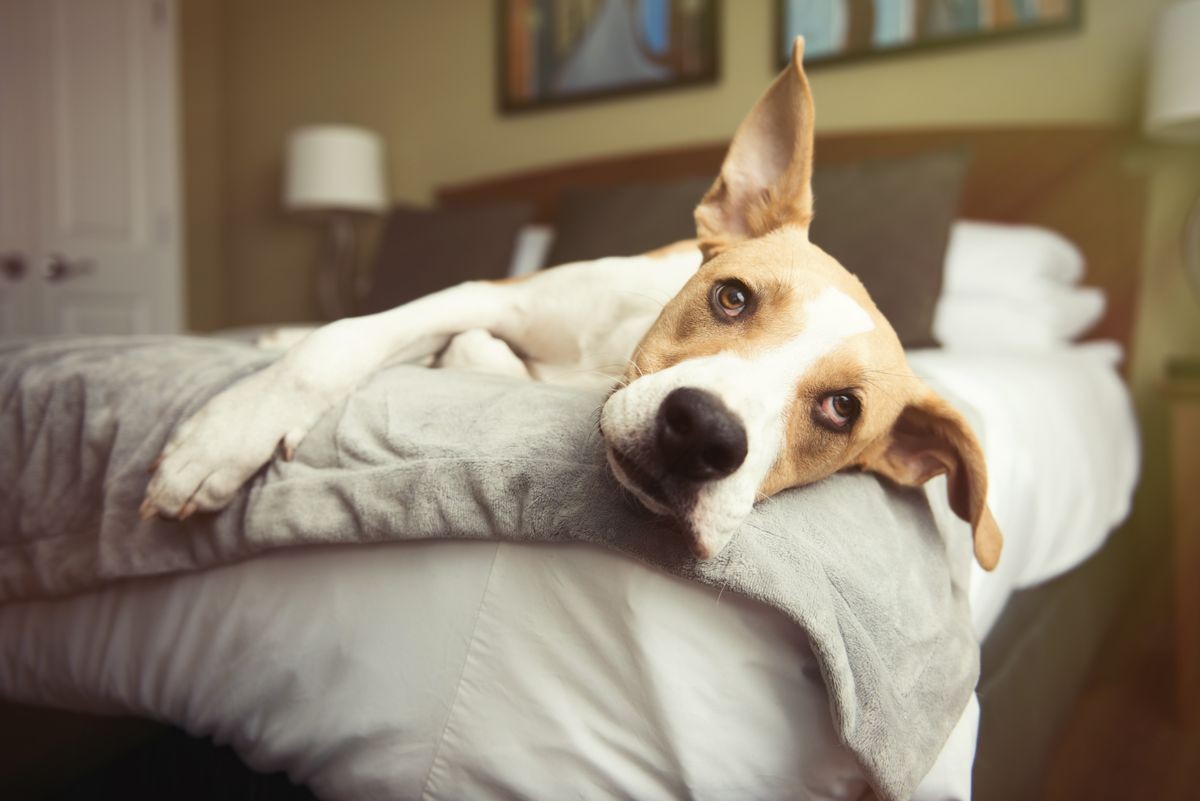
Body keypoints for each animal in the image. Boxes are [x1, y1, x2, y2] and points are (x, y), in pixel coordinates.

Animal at [140, 37, 1003, 573]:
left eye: (841, 409)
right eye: (731, 296)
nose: (705, 433)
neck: (605, 361)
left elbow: (470, 353)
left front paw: (470, 358)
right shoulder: (487, 293)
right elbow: (343, 340)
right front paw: (223, 439)